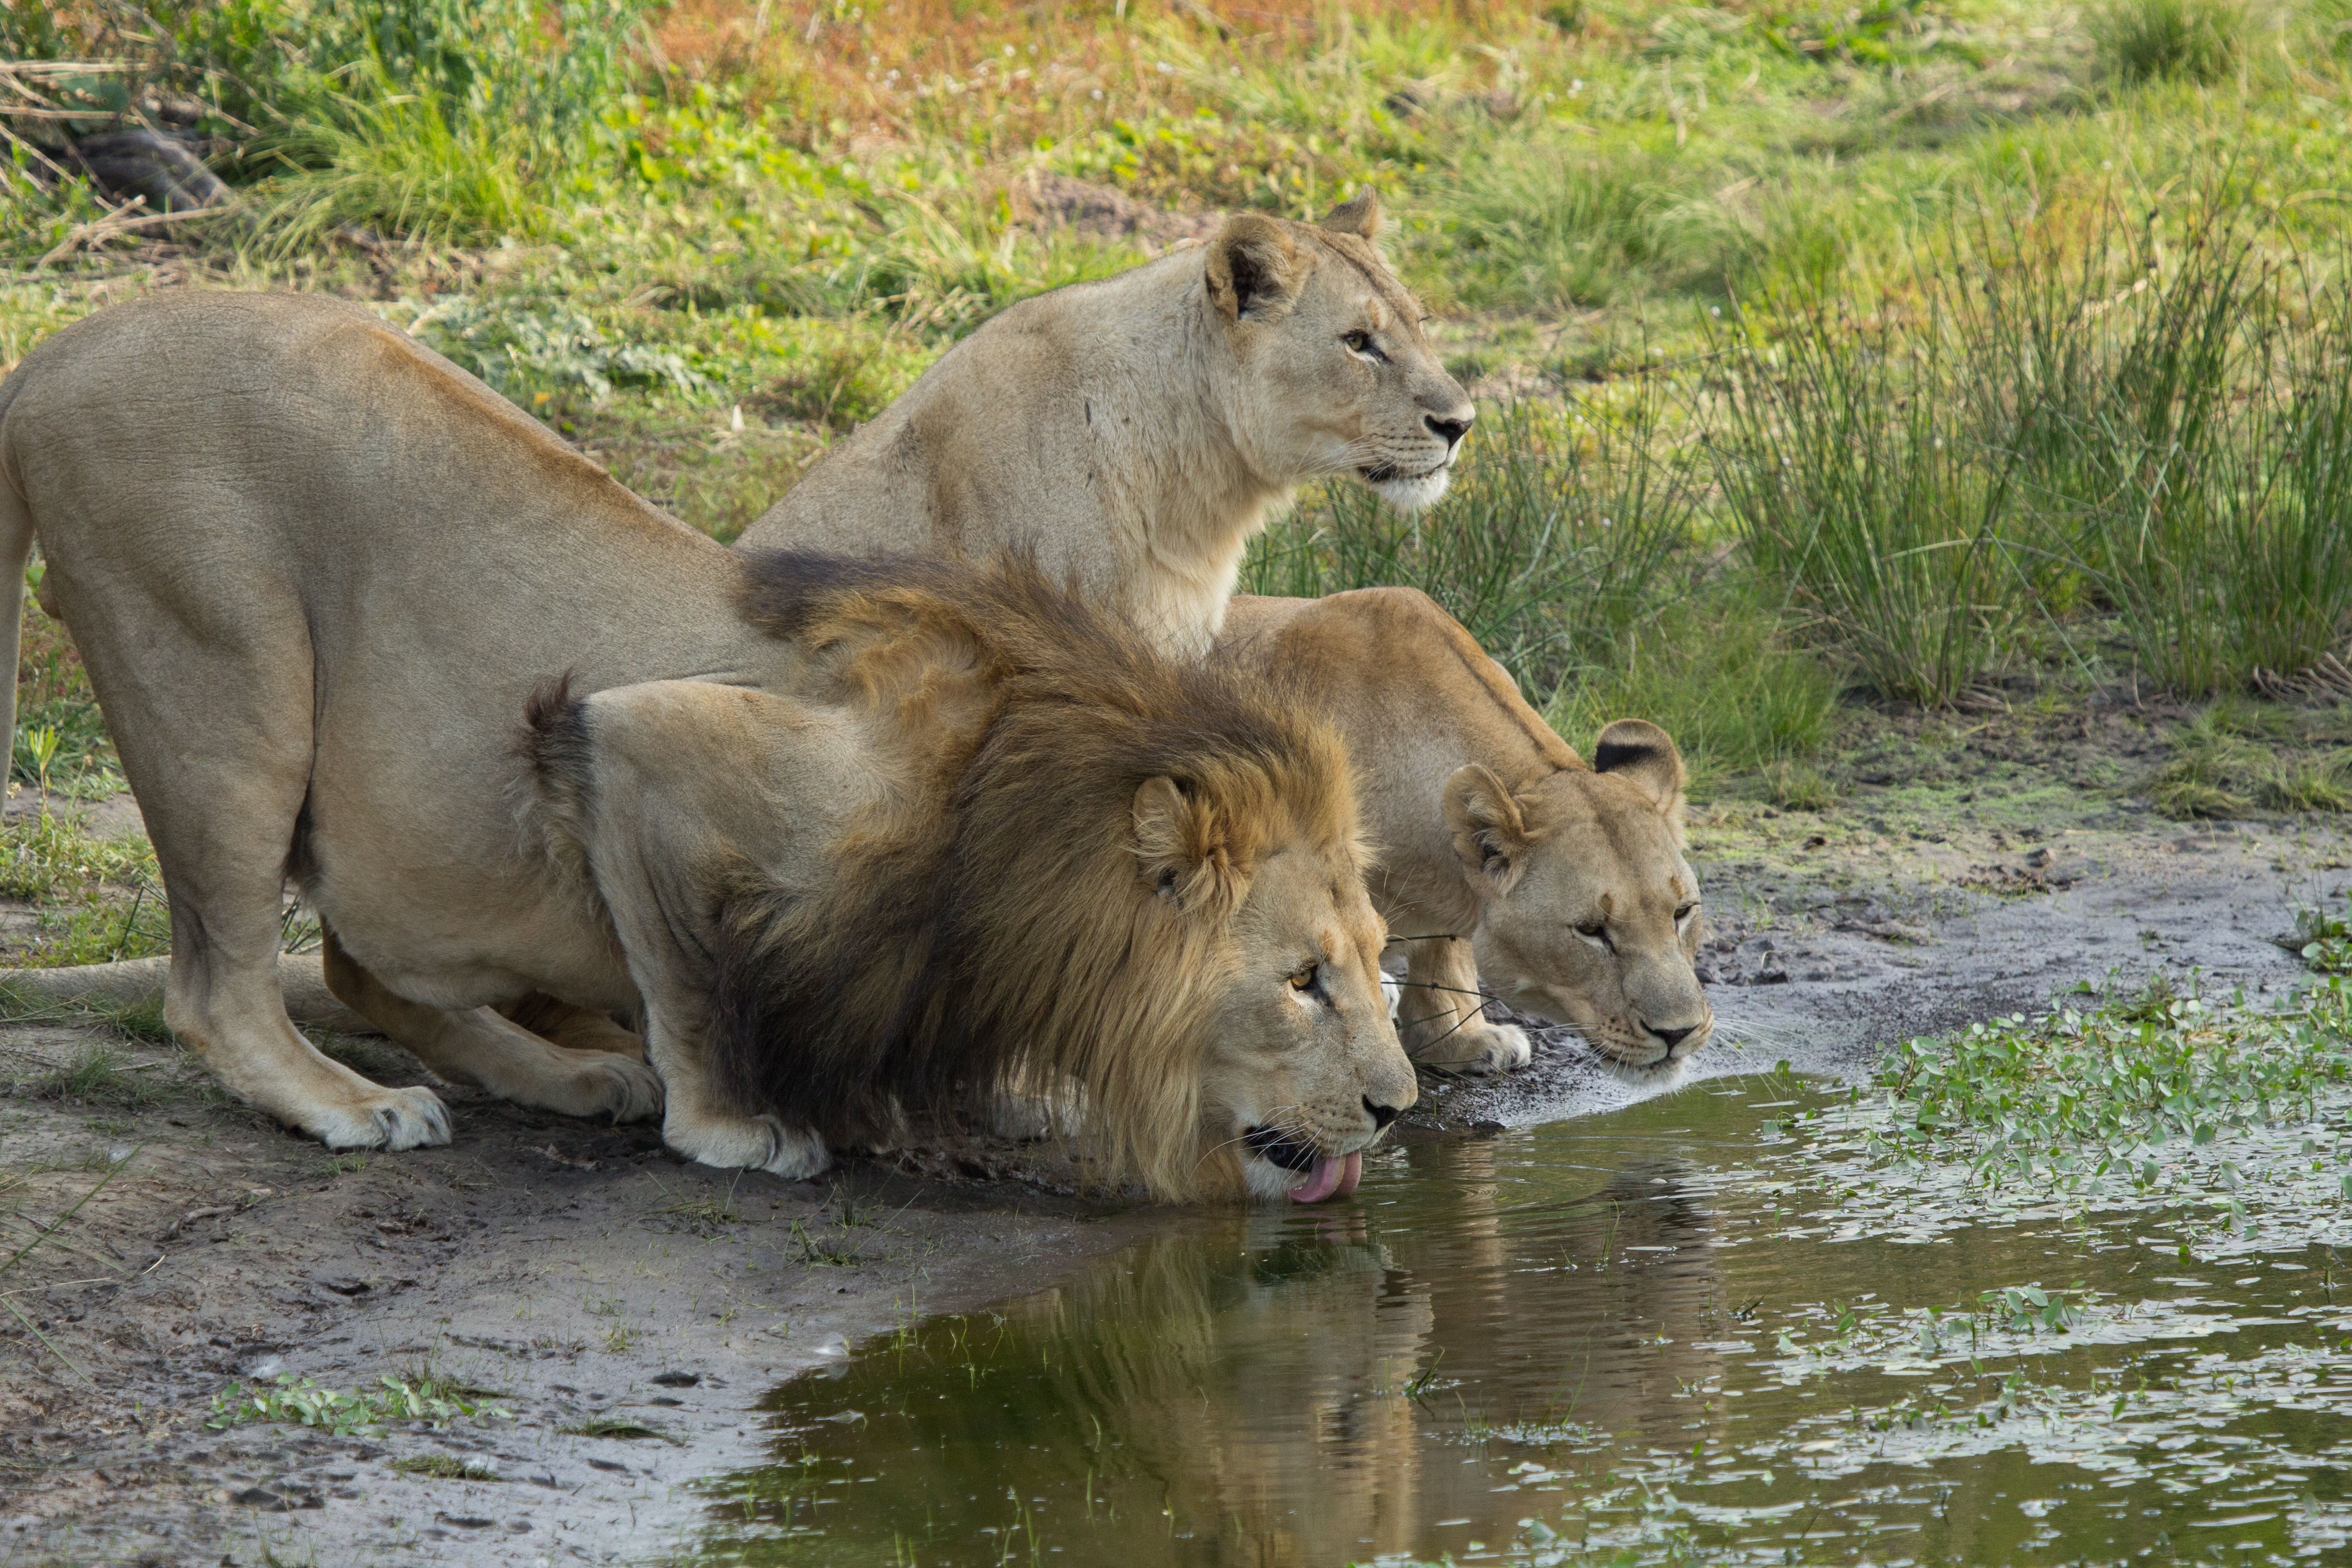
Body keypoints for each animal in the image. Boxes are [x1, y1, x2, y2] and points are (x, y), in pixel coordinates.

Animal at [0, 291, 1413, 1203]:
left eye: (1375, 965)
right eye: (1302, 980)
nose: (1398, 1108)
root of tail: (50, 353)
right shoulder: (647, 744)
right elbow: (688, 972)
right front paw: (736, 1127)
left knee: (359, 965)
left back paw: (565, 1075)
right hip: (221, 671)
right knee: (219, 981)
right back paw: (351, 1103)